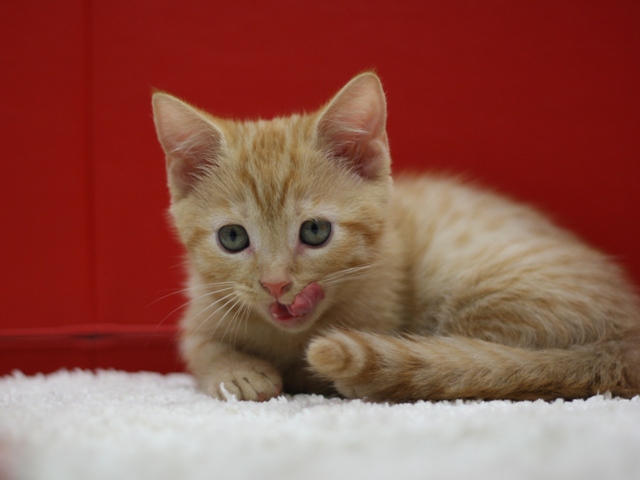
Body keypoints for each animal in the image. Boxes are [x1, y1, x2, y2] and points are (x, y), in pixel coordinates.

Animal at [151, 71, 640, 402]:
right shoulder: (202, 306)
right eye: (233, 238)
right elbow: (201, 346)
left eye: (315, 231)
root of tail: (627, 333)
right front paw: (237, 371)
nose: (276, 284)